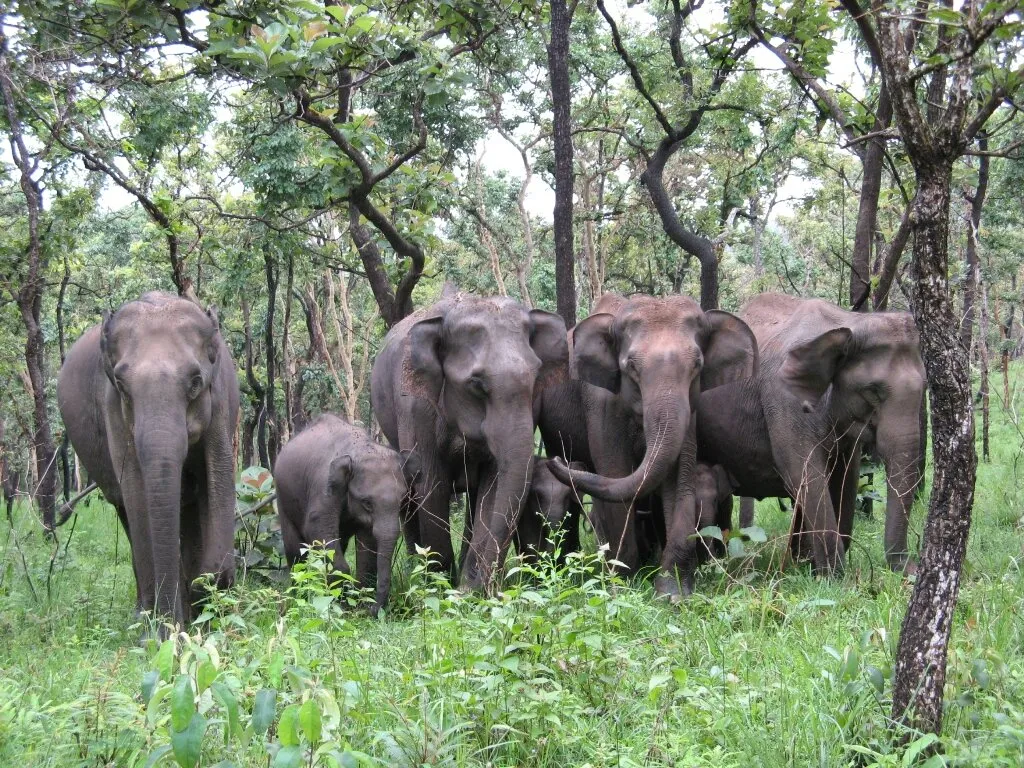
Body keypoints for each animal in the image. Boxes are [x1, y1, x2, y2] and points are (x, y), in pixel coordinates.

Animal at [57, 292, 239, 630]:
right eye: (122, 385)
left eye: (196, 382)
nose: (170, 628)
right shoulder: (113, 410)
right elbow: (136, 493)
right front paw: (160, 632)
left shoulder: (221, 403)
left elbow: (216, 480)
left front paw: (205, 608)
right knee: (125, 511)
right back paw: (145, 612)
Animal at [274, 414, 412, 614]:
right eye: (367, 503)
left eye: (402, 501)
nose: (375, 611)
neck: (358, 449)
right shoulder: (323, 486)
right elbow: (317, 528)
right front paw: (341, 602)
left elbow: (368, 538)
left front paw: (359, 602)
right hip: (283, 498)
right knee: (295, 549)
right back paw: (298, 594)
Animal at [370, 292, 569, 590]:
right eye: (476, 383)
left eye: (536, 377)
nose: (484, 583)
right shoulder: (416, 409)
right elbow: (432, 484)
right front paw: (439, 584)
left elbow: (494, 484)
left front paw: (468, 586)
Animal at [549, 293, 759, 599]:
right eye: (631, 367)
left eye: (697, 365)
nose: (555, 462)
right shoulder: (600, 402)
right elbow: (615, 472)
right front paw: (623, 585)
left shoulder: (690, 412)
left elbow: (679, 479)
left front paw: (673, 593)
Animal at [696, 293, 926, 576]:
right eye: (872, 391)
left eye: (925, 388)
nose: (911, 569)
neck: (850, 322)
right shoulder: (784, 400)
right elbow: (802, 473)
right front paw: (833, 576)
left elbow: (846, 477)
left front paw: (811, 567)